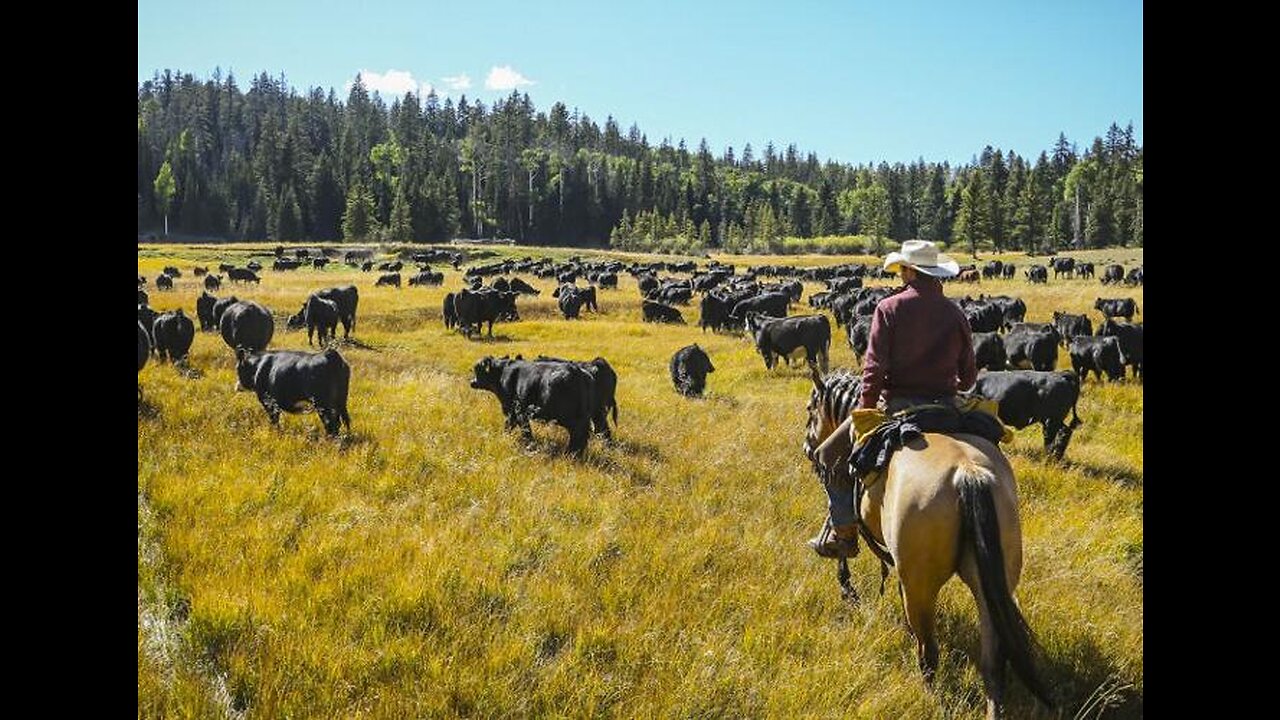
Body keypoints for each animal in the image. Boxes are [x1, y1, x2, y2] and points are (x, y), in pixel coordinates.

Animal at [803, 366, 1054, 712]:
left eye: (811, 409)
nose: (808, 447)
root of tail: (968, 474)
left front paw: (844, 580)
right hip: (990, 585)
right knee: (992, 663)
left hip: (921, 586)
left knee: (929, 653)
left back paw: (930, 696)